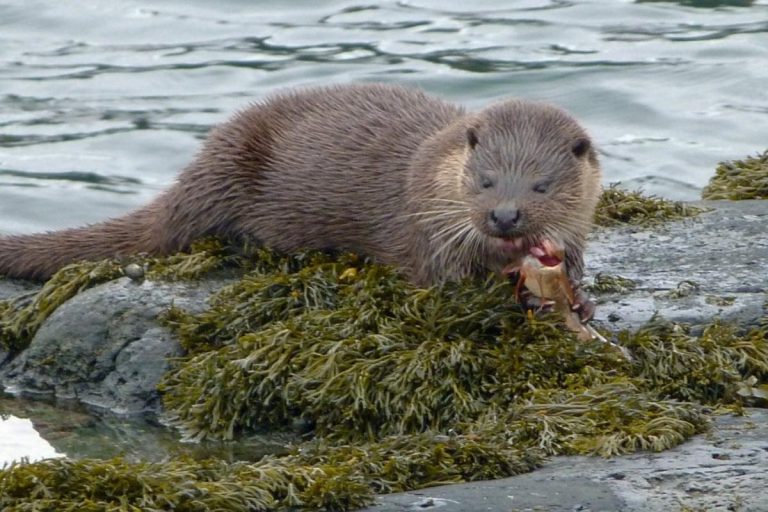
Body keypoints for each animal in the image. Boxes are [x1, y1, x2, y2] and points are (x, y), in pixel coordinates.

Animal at [0, 83, 600, 316]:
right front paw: (527, 299)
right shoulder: (428, 233)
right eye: (486, 180)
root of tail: (197, 167)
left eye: (541, 185)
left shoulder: (574, 229)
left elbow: (571, 260)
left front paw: (580, 299)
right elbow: (449, 282)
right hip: (224, 174)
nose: (505, 215)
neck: (434, 174)